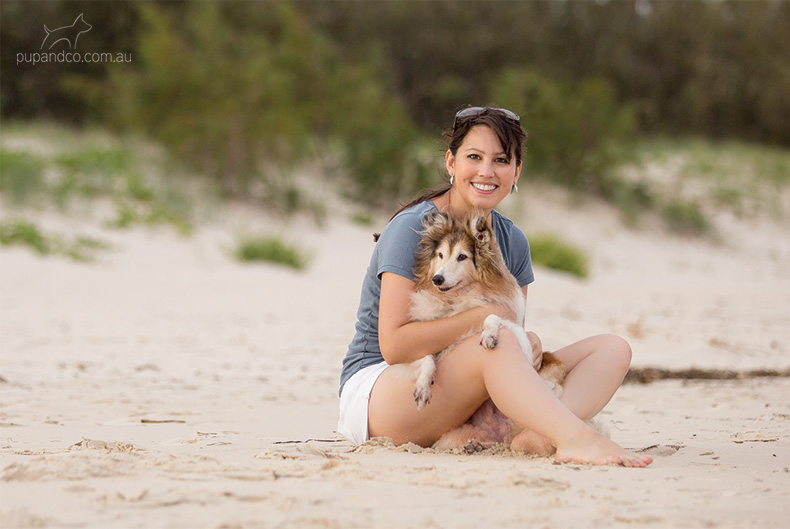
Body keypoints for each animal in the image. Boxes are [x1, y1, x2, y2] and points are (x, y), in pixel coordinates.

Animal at [396, 209, 568, 450]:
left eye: (462, 257)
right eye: (440, 255)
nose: (437, 278)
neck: (456, 300)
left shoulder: (517, 335)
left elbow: (491, 316)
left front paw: (489, 334)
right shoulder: (408, 351)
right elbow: (426, 357)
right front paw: (423, 387)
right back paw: (475, 445)